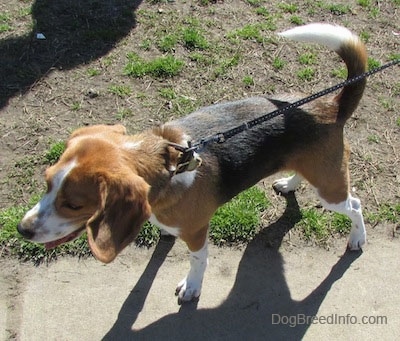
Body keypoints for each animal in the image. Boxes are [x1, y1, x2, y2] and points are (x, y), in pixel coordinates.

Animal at [18, 25, 368, 304]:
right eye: (47, 182)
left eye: (74, 205)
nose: (22, 229)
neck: (168, 168)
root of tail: (330, 105)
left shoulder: (197, 231)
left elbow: (197, 261)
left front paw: (192, 287)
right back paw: (290, 182)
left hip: (331, 190)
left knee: (355, 205)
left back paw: (357, 238)